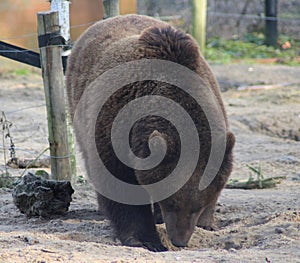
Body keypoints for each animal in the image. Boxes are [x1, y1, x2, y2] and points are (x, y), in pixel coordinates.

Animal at [67, 13, 236, 253]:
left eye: (197, 206)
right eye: (171, 202)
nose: (179, 240)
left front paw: (207, 223)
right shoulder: (114, 127)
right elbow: (120, 186)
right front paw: (145, 239)